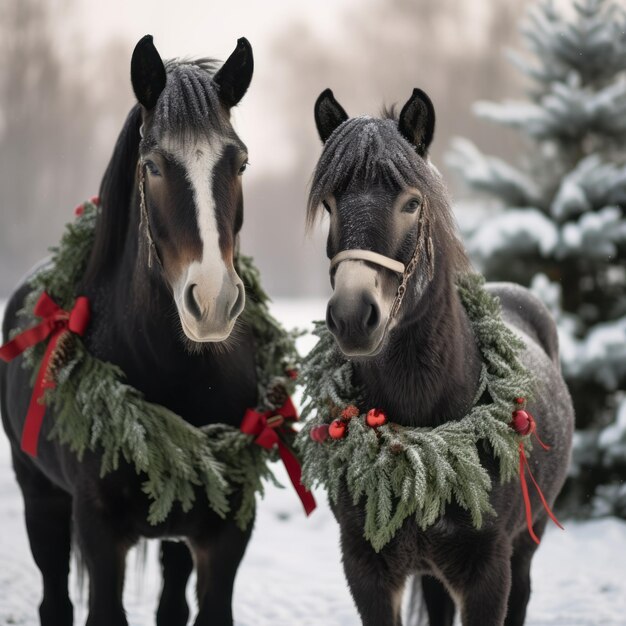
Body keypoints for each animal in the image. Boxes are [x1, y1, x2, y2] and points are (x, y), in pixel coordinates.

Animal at [0, 35, 256, 624]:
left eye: (240, 162)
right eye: (154, 165)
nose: (213, 301)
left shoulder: (227, 532)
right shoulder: (99, 532)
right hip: (40, 498)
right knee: (54, 599)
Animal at [304, 88, 572, 624]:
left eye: (412, 202)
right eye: (329, 203)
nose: (352, 315)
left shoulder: (488, 573)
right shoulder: (366, 568)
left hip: (524, 549)